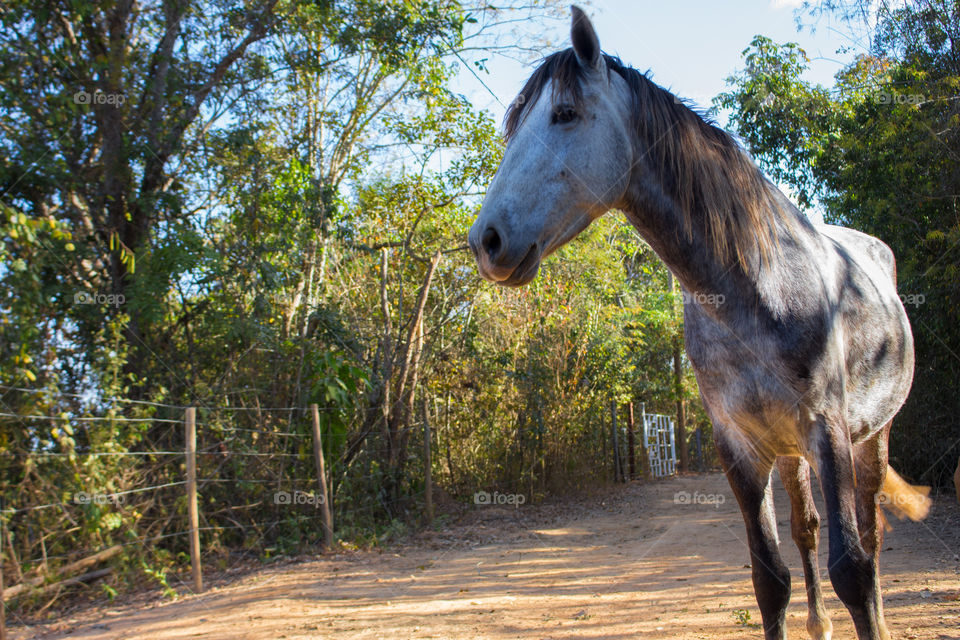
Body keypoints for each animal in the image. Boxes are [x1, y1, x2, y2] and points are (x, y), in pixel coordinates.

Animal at [464, 6, 928, 640]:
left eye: (565, 114)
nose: (485, 242)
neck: (758, 289)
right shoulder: (739, 448)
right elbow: (770, 580)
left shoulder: (829, 433)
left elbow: (853, 571)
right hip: (789, 452)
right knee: (806, 529)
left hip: (870, 439)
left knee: (871, 540)